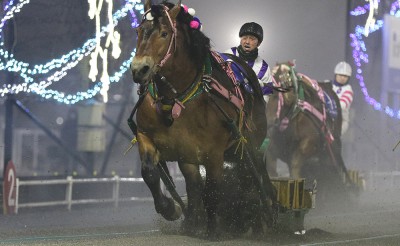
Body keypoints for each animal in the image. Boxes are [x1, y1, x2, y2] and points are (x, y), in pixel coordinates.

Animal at [130, 0, 276, 238]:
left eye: (164, 33)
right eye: (138, 31)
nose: (139, 69)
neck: (176, 99)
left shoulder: (214, 153)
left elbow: (213, 189)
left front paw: (214, 229)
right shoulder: (147, 136)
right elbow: (150, 173)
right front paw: (171, 209)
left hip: (250, 144)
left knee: (254, 177)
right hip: (189, 157)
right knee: (194, 185)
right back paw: (194, 221)